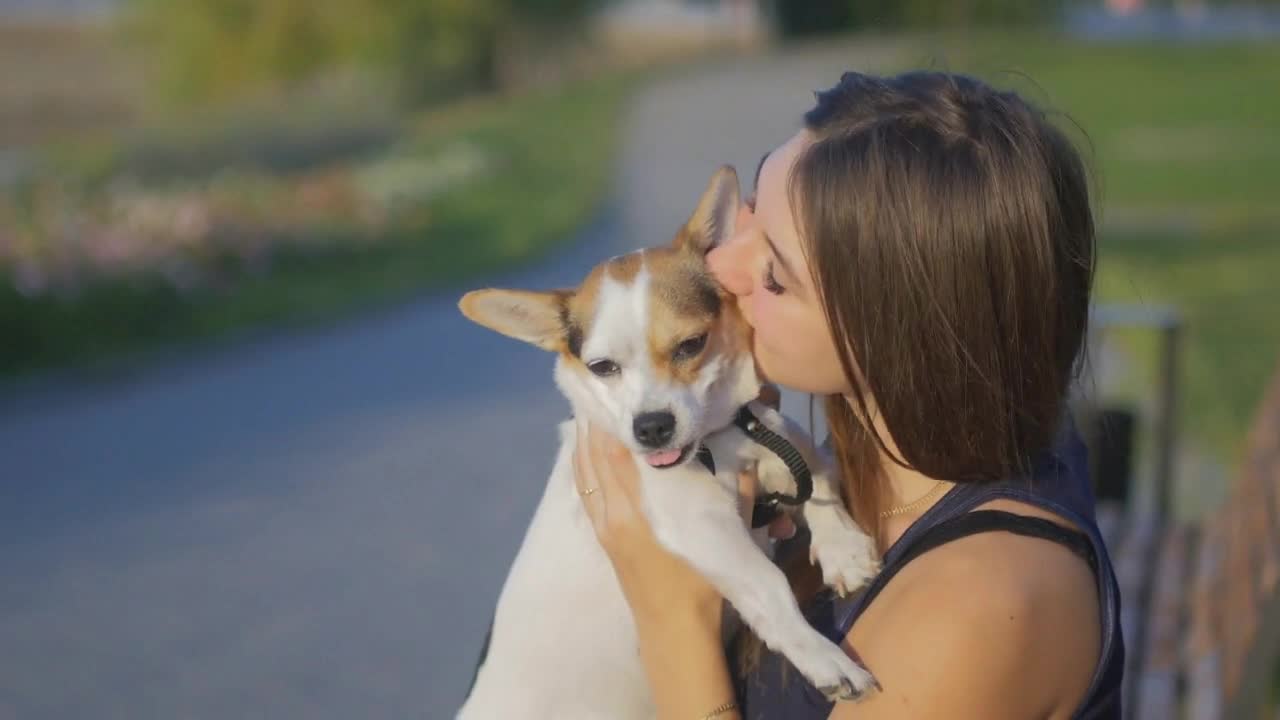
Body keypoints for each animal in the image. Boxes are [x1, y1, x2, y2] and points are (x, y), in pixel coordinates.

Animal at [453, 165, 880, 712]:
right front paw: (824, 658)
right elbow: (769, 584)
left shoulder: (782, 444)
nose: (651, 427)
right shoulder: (698, 522)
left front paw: (842, 547)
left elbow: (821, 478)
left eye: (691, 345)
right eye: (602, 368)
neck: (722, 441)